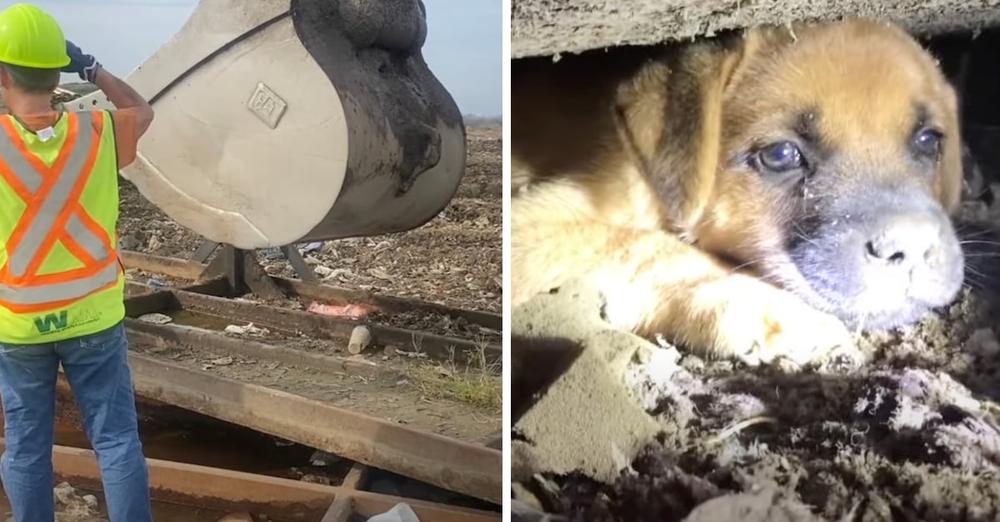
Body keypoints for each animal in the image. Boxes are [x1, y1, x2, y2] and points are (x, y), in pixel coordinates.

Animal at [512, 17, 964, 366]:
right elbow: (644, 245)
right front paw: (775, 311)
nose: (913, 245)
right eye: (780, 155)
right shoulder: (538, 221)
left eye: (929, 141)